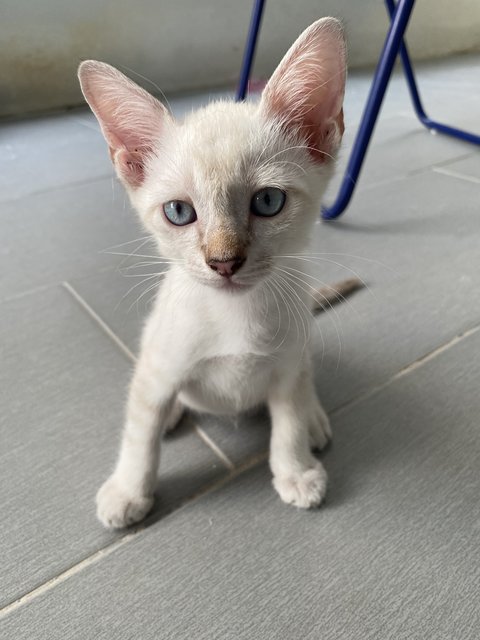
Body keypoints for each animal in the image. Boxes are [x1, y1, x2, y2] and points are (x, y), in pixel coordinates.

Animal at [79, 18, 348, 528]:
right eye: (179, 212)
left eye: (268, 201)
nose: (224, 262)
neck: (234, 315)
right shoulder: (158, 370)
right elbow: (139, 435)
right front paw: (128, 491)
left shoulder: (285, 368)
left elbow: (286, 424)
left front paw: (296, 470)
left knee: (307, 378)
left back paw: (316, 420)